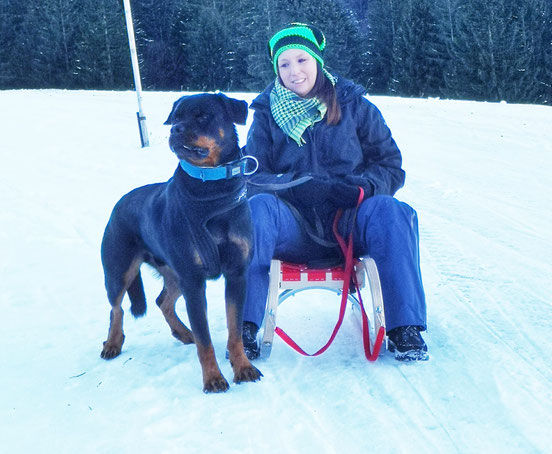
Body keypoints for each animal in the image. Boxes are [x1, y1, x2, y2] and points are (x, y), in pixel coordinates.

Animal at [99, 91, 264, 390]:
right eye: (176, 117)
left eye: (203, 115)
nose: (175, 130)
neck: (211, 190)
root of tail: (119, 203)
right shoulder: (194, 280)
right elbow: (205, 340)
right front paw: (213, 379)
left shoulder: (236, 274)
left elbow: (234, 331)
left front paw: (243, 368)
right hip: (119, 270)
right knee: (116, 308)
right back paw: (113, 343)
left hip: (174, 273)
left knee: (162, 301)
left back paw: (183, 333)